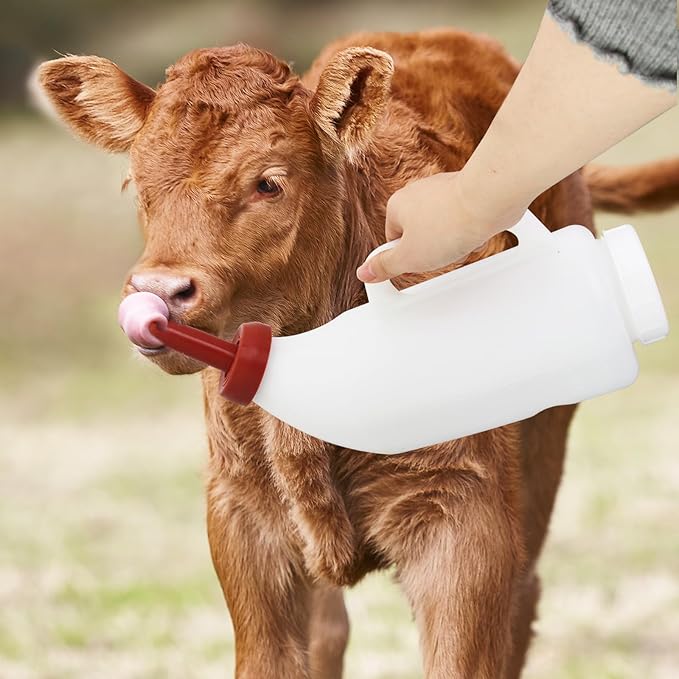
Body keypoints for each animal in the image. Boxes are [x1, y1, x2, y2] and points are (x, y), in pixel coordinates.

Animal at [37, 29, 679, 679]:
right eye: (137, 186)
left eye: (269, 182)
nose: (160, 291)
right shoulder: (241, 516)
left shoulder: (465, 517)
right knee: (331, 630)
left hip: (539, 457)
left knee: (522, 601)